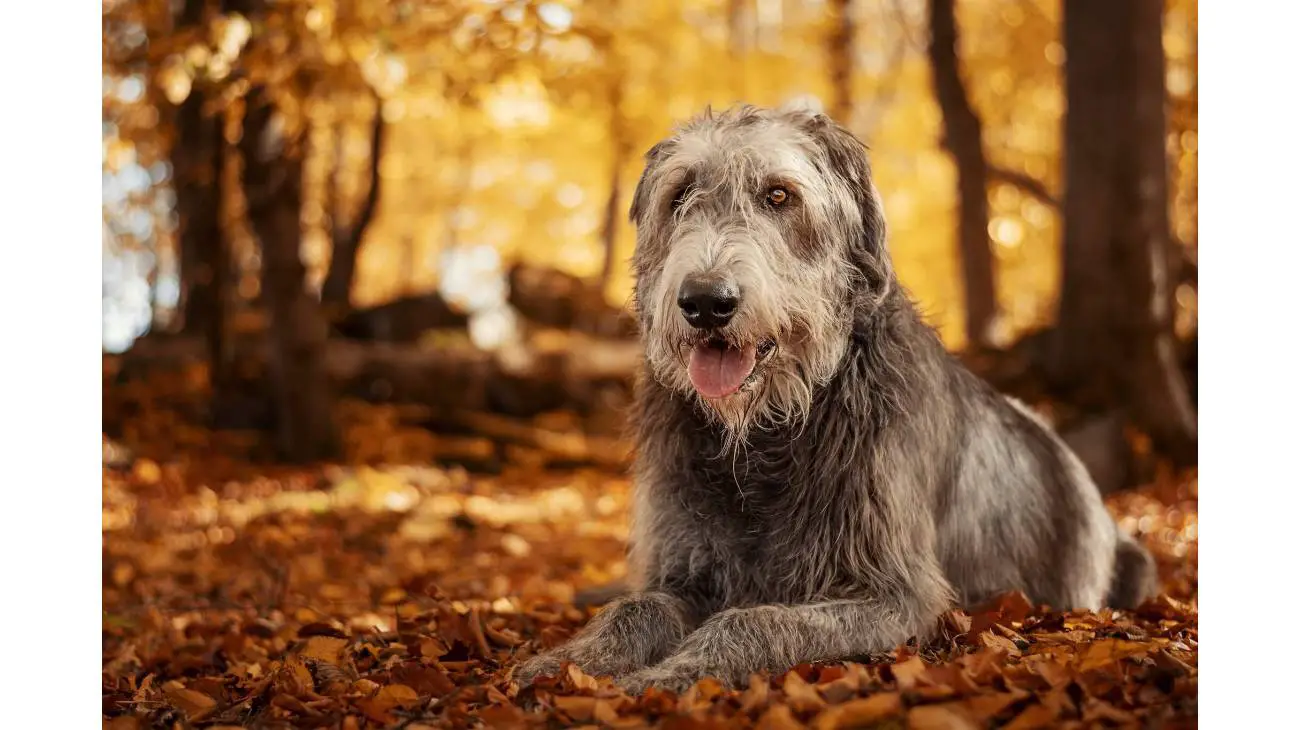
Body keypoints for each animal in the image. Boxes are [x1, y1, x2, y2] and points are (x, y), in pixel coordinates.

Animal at [512, 103, 1154, 691]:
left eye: (778, 195)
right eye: (680, 194)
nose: (705, 302)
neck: (767, 434)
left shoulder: (897, 595)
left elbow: (755, 621)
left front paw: (672, 673)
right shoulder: (683, 560)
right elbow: (635, 606)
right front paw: (565, 663)